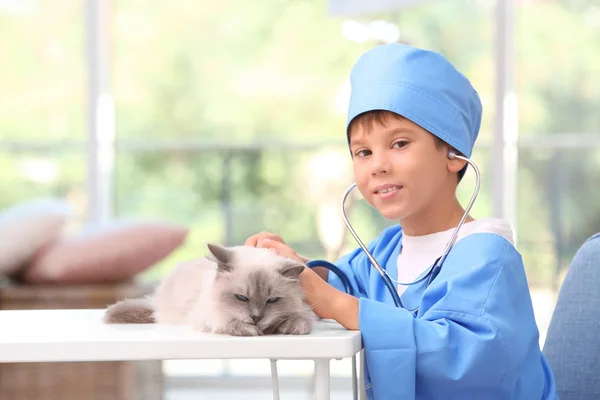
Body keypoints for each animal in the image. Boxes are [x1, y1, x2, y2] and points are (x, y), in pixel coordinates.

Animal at [104, 242, 314, 336]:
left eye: (271, 300)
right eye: (242, 298)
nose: (256, 317)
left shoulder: (301, 309)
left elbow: (300, 318)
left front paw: (292, 327)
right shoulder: (210, 316)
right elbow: (229, 322)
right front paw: (252, 330)